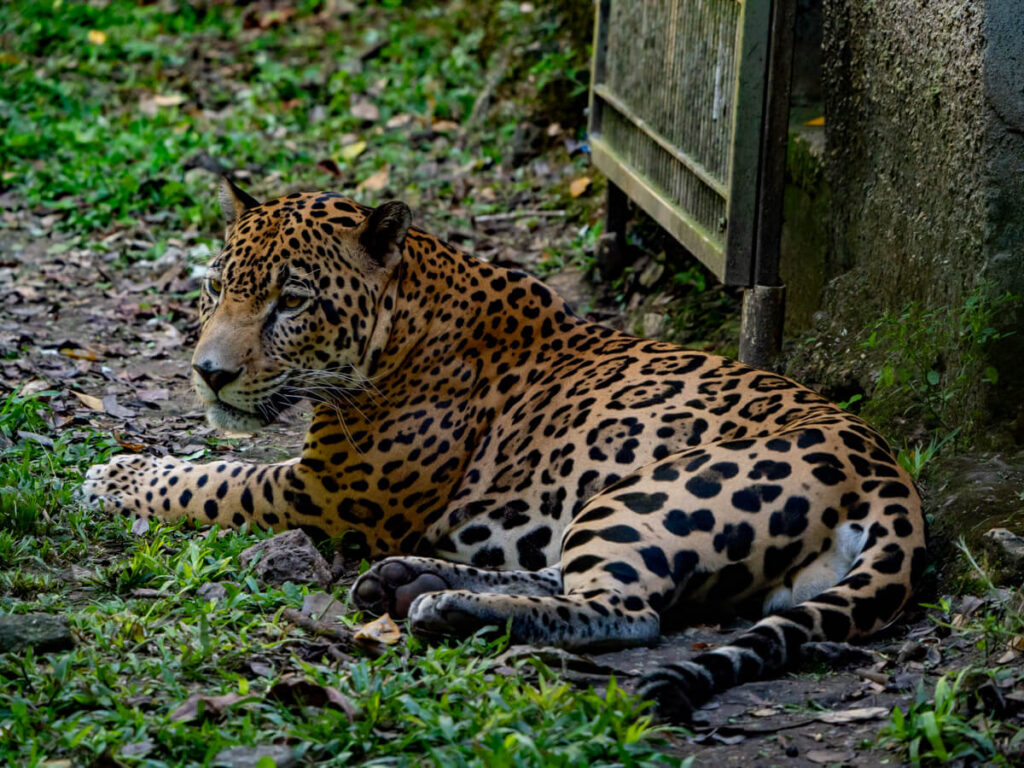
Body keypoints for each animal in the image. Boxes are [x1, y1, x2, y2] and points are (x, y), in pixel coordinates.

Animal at [81, 179, 926, 721]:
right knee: (574, 576)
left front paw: (115, 471)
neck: (405, 317)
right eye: (216, 286)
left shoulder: (324, 492)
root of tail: (893, 479)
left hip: (652, 494)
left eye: (291, 301)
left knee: (627, 612)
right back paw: (412, 580)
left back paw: (450, 608)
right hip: (620, 508)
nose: (208, 373)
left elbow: (212, 479)